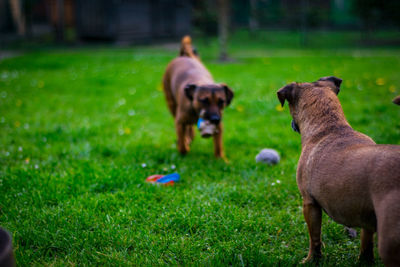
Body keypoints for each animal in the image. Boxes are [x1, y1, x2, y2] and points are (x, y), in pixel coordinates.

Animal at [278, 76, 400, 266]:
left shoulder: (309, 204)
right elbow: (366, 244)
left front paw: (311, 260)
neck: (331, 126)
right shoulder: (367, 218)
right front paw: (363, 261)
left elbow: (315, 239)